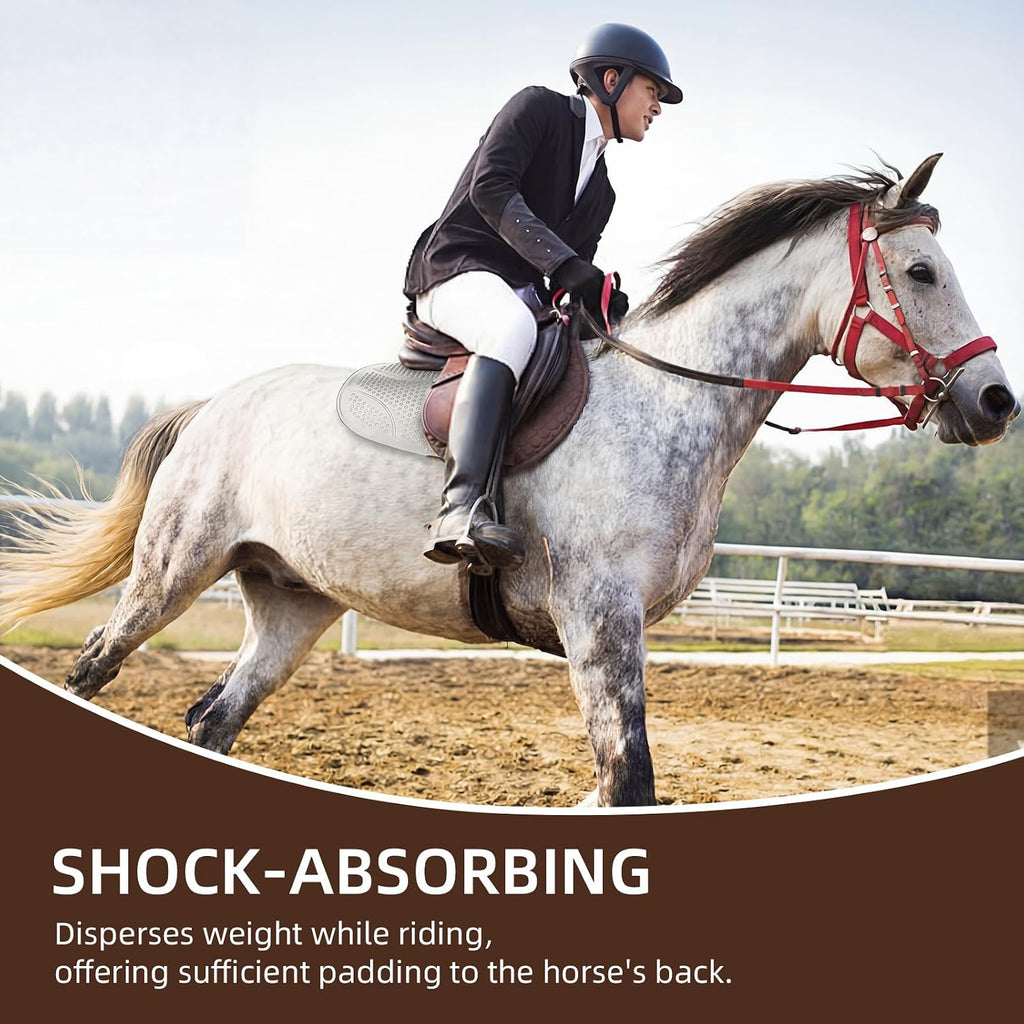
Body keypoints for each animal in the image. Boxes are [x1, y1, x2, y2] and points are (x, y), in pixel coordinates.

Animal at [0, 156, 1018, 806]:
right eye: (921, 272)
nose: (996, 400)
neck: (668, 401)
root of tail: (213, 405)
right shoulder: (599, 620)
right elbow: (630, 780)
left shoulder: (613, 631)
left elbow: (615, 788)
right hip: (174, 569)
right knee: (96, 663)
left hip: (294, 602)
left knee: (216, 717)